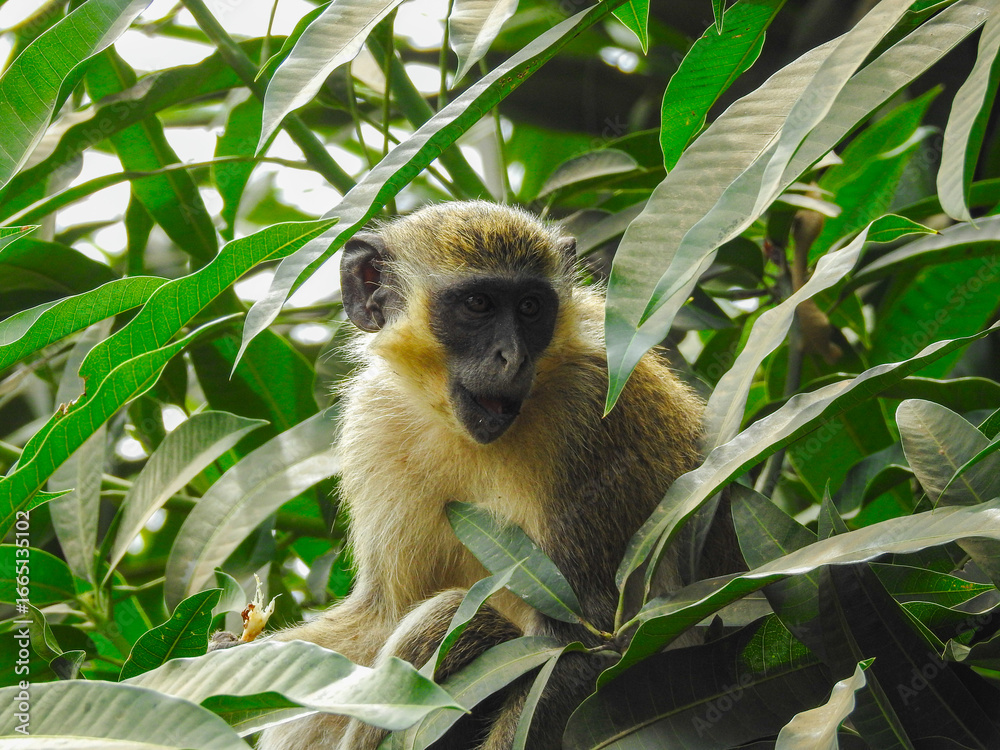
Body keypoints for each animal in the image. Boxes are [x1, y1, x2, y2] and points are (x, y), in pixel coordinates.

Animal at [232, 201, 728, 749]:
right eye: (478, 305)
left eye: (531, 307)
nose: (512, 357)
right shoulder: (373, 420)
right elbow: (380, 615)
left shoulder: (595, 408)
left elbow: (591, 646)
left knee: (451, 617)